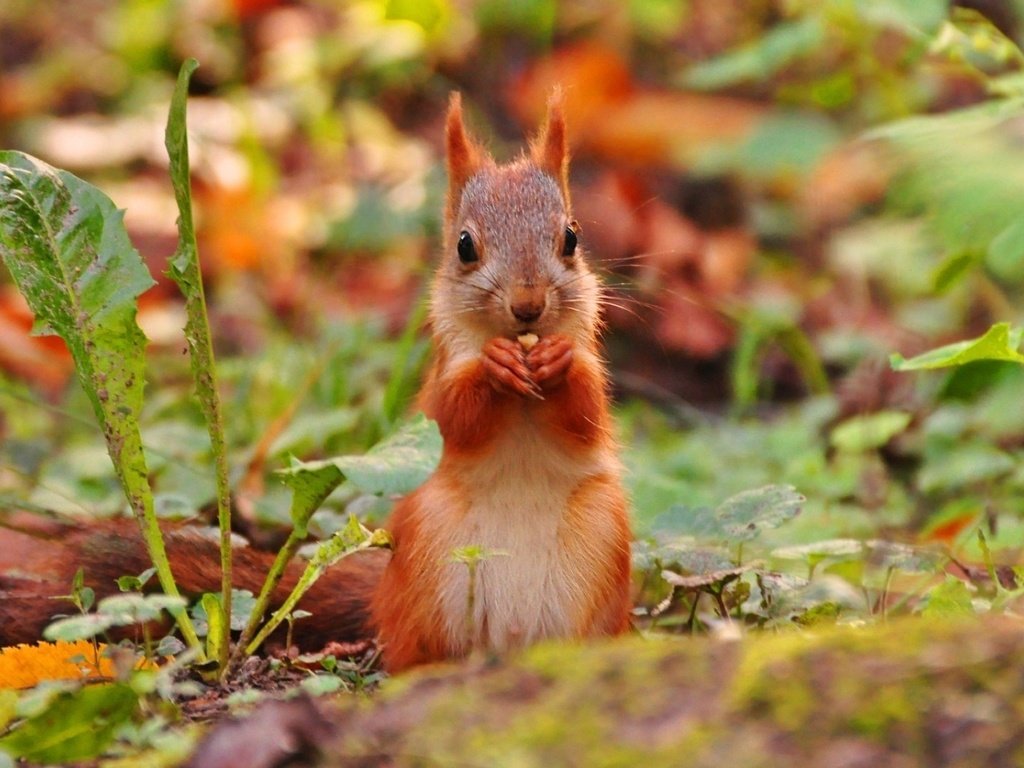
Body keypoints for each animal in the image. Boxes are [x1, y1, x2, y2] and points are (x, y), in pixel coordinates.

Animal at [0, 93, 630, 671]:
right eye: (465, 246)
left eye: (571, 238)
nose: (527, 306)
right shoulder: (437, 386)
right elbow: (453, 416)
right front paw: (494, 367)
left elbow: (587, 412)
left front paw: (560, 363)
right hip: (430, 555)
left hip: (602, 548)